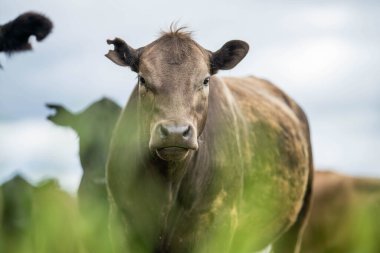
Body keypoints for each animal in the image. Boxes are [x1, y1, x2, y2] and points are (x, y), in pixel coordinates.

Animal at [105, 27, 314, 253]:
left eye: (205, 80)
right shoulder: (121, 221)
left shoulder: (217, 222)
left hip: (297, 221)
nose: (175, 131)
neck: (169, 185)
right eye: (142, 79)